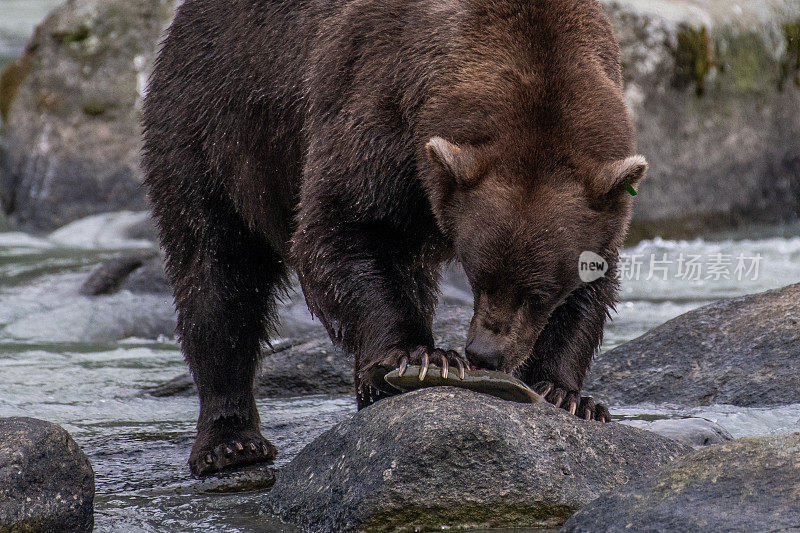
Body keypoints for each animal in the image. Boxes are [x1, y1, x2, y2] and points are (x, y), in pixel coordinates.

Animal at [142, 0, 644, 476]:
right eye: (479, 278)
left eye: (539, 292)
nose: (485, 353)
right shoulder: (379, 105)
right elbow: (344, 227)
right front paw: (425, 355)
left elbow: (593, 287)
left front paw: (567, 394)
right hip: (213, 124)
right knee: (218, 275)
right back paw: (231, 441)